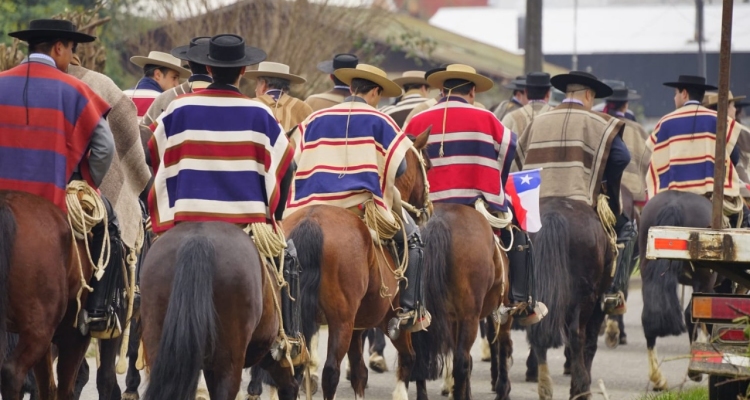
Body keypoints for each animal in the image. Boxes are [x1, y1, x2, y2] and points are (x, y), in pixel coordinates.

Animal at [408, 205, 516, 398]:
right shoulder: (503, 310)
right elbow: (502, 345)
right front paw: (503, 388)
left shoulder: (453, 319)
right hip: (470, 317)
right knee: (461, 362)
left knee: (421, 358)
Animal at [640, 191, 716, 390]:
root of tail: (674, 203)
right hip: (704, 280)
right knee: (690, 314)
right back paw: (694, 370)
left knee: (648, 318)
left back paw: (658, 378)